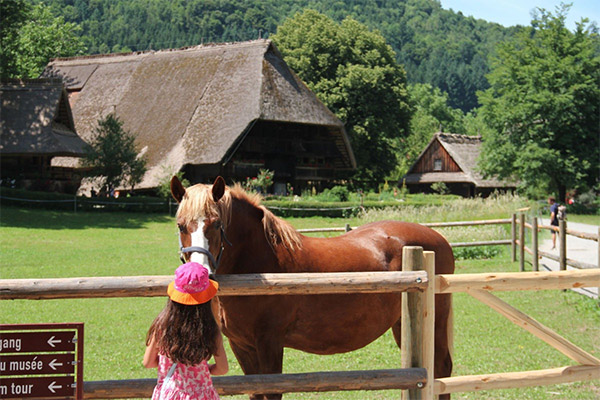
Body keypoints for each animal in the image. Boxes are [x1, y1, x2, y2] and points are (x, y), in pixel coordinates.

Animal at [171, 177, 452, 398]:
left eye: (217, 224)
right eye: (180, 225)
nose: (198, 275)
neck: (261, 262)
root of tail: (439, 238)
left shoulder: (270, 343)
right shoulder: (241, 345)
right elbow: (255, 391)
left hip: (436, 325)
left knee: (442, 370)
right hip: (402, 325)